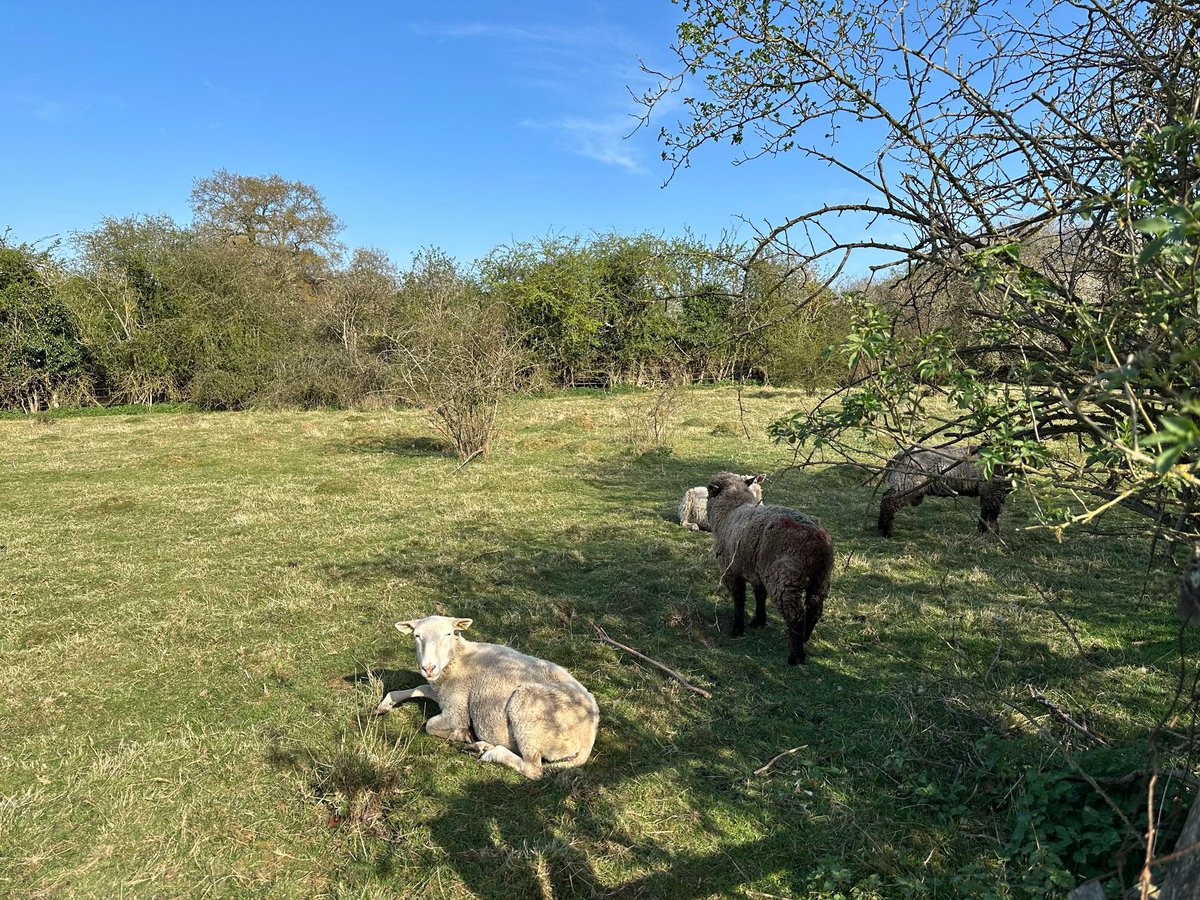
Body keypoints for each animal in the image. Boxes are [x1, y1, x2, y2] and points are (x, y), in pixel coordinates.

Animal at [373, 615, 599, 780]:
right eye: (416, 636)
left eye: (448, 633)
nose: (428, 668)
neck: (458, 660)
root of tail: (588, 738)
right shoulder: (442, 692)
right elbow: (418, 688)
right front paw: (384, 705)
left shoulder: (456, 710)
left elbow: (429, 725)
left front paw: (462, 734)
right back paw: (480, 746)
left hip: (527, 715)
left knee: (533, 769)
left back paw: (490, 752)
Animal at [705, 472, 834, 665]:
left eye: (708, 493)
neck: (730, 510)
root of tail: (818, 541)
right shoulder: (756, 570)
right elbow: (760, 595)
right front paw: (759, 620)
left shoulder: (731, 570)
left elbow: (739, 598)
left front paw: (738, 628)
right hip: (821, 579)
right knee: (814, 611)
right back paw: (804, 639)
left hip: (784, 580)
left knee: (796, 616)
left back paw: (795, 656)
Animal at [877, 444, 1011, 537]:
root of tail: (899, 455)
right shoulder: (991, 491)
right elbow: (990, 515)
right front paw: (990, 533)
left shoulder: (993, 493)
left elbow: (988, 515)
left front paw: (988, 531)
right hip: (907, 484)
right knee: (889, 502)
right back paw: (887, 531)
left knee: (885, 498)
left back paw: (881, 526)